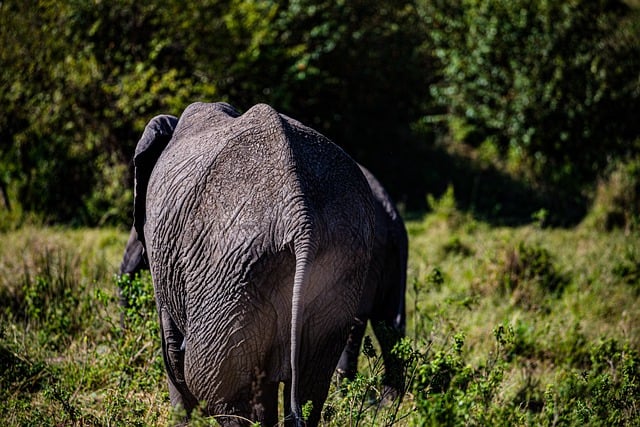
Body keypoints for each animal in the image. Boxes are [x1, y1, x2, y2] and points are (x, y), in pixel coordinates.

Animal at [132, 102, 378, 426]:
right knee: (311, 386)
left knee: (216, 386)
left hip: (227, 268)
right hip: (338, 262)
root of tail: (300, 216)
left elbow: (171, 350)